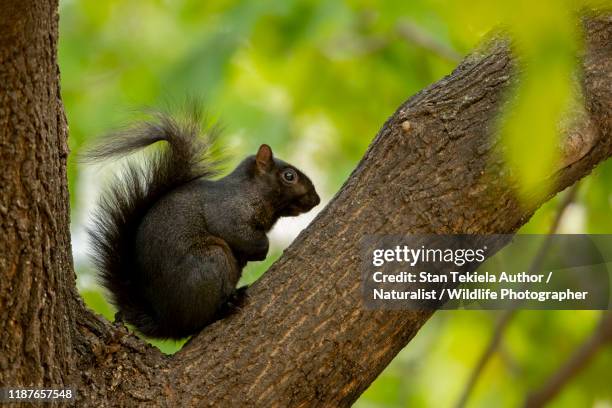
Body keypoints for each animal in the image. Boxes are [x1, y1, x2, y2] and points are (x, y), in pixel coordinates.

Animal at [85, 110, 320, 340]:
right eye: (289, 176)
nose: (317, 200)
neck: (251, 192)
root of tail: (167, 323)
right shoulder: (227, 212)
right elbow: (240, 234)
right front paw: (261, 250)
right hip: (209, 260)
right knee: (198, 321)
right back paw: (227, 305)